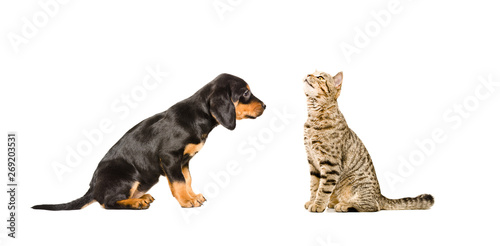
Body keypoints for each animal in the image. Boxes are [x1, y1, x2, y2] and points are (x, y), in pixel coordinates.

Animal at [32, 72, 266, 209]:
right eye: (245, 93)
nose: (265, 106)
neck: (198, 116)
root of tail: (92, 187)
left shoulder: (184, 161)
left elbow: (187, 180)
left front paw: (192, 196)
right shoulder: (170, 157)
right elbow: (179, 183)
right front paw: (186, 201)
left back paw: (141, 198)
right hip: (126, 174)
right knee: (106, 203)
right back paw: (136, 203)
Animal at [300, 70, 434, 212]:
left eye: (320, 77)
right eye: (312, 72)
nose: (308, 74)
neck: (314, 116)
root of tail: (380, 195)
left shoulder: (330, 163)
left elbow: (323, 189)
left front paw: (318, 205)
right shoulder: (312, 162)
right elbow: (314, 186)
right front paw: (312, 201)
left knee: (372, 206)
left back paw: (344, 205)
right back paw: (333, 202)